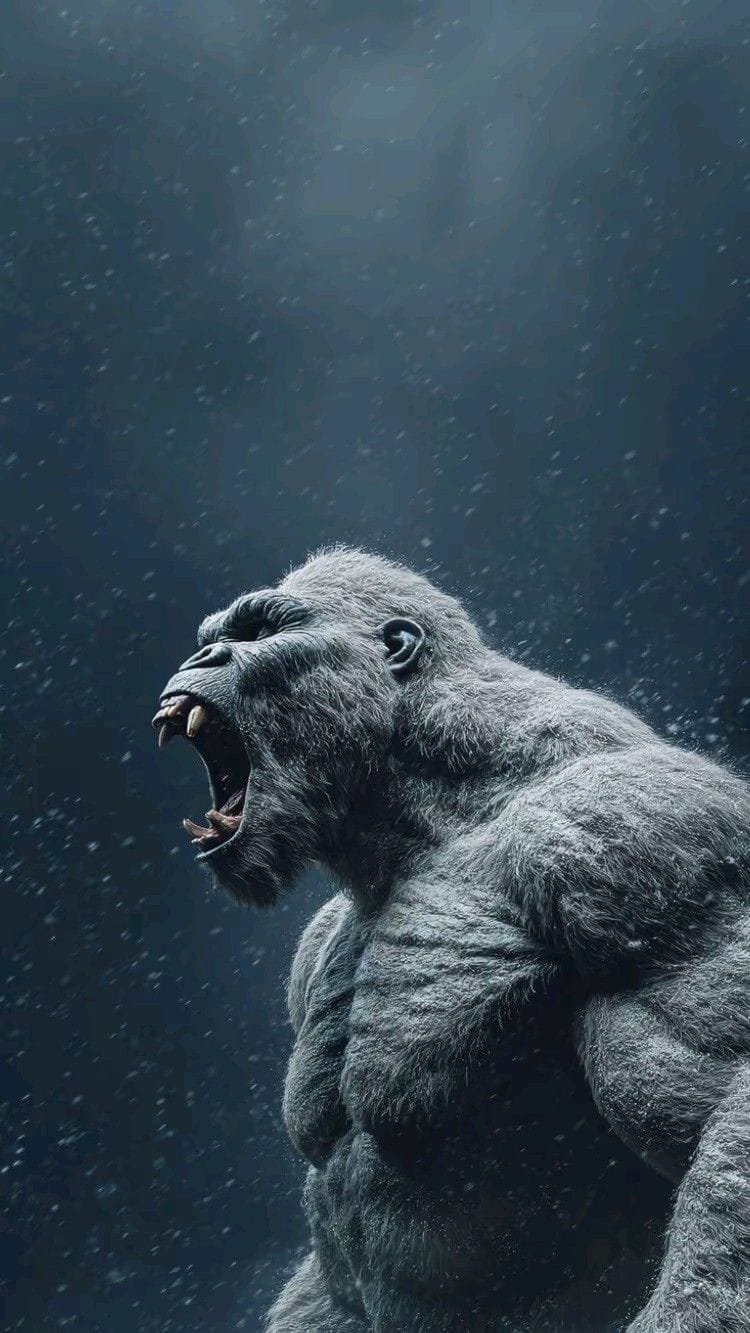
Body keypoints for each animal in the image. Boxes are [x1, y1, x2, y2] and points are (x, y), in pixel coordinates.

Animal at [152, 546, 750, 1333]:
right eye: (214, 637)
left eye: (262, 630)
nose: (202, 655)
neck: (427, 802)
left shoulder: (633, 836)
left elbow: (727, 1095)